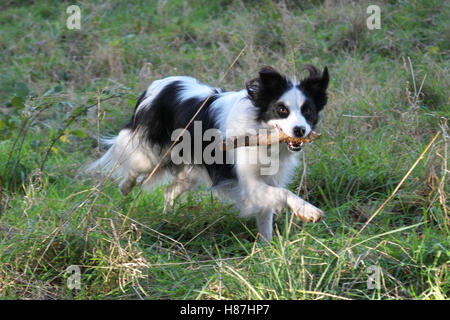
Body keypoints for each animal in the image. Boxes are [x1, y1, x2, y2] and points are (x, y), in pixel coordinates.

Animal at [88, 65, 328, 240]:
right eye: (282, 109)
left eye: (308, 111)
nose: (300, 130)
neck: (261, 130)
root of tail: (157, 85)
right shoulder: (250, 184)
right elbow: (283, 194)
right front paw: (309, 211)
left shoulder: (268, 180)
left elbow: (266, 214)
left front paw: (268, 249)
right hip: (153, 154)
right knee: (133, 166)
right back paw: (125, 188)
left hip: (190, 171)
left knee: (170, 191)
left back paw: (167, 218)